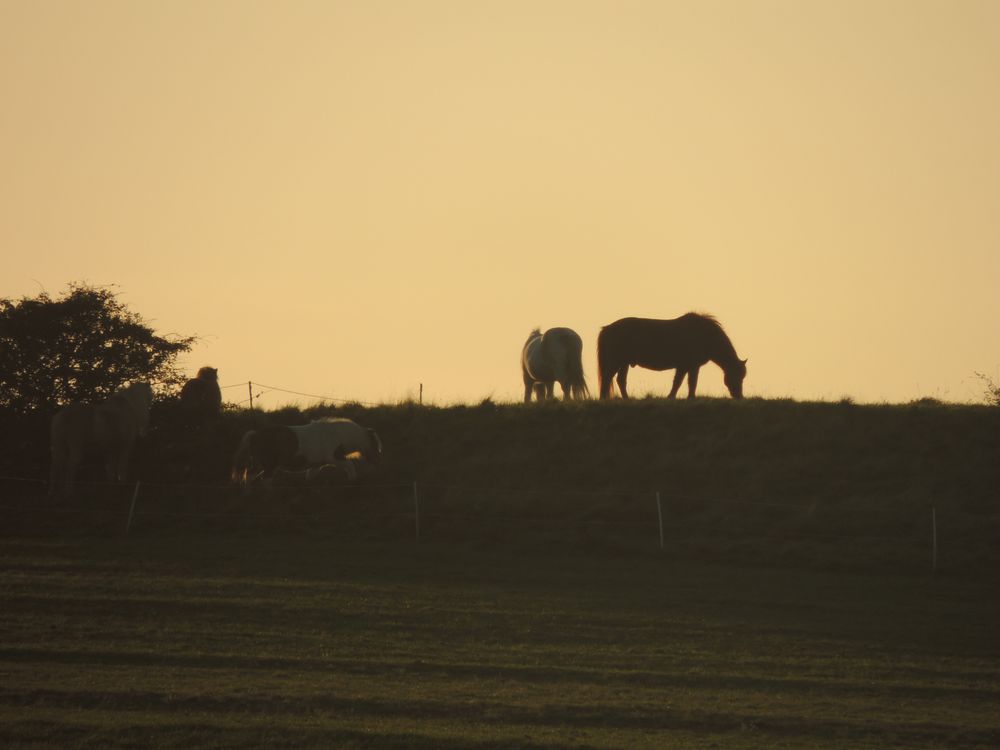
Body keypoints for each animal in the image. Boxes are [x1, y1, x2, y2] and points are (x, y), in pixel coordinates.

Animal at [230, 418, 382, 488]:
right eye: (375, 444)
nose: (377, 461)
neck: (336, 435)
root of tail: (255, 434)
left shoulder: (316, 465)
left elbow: (309, 477)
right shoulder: (334, 458)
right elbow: (350, 466)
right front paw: (353, 481)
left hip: (260, 464)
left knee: (250, 476)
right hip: (268, 465)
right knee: (265, 480)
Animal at [596, 314, 748, 402]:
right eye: (736, 375)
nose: (739, 396)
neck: (704, 335)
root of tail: (607, 328)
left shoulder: (689, 366)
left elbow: (685, 382)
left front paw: (683, 397)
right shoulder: (687, 366)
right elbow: (683, 382)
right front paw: (681, 398)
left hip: (624, 362)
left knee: (620, 380)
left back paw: (626, 399)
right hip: (616, 361)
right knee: (607, 378)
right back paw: (604, 399)